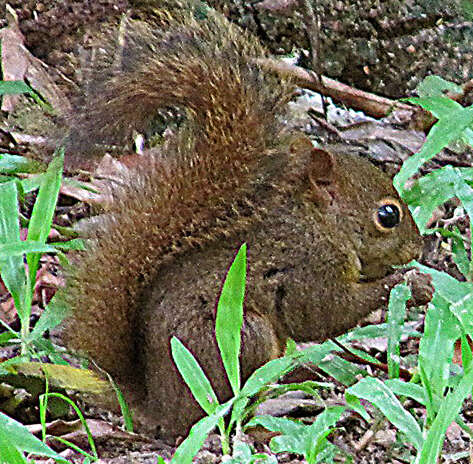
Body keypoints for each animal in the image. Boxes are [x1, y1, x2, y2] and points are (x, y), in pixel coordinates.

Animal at [59, 0, 428, 442]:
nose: (420, 247)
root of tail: (156, 407)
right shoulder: (309, 266)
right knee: (220, 411)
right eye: (388, 215)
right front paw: (408, 282)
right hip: (243, 338)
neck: (322, 225)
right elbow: (323, 315)